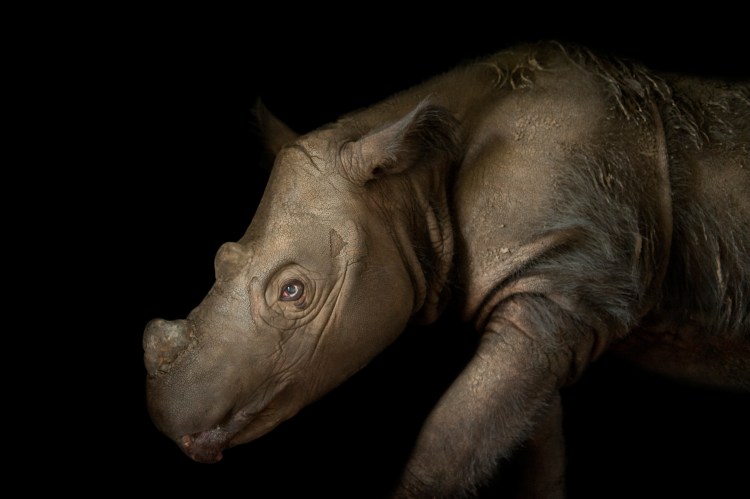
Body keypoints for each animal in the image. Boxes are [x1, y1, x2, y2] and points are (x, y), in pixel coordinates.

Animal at [144, 43, 748, 499]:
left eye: (293, 292)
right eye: (219, 259)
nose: (168, 419)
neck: (413, 182)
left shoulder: (561, 281)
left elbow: (448, 442)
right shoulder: (547, 293)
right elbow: (524, 437)